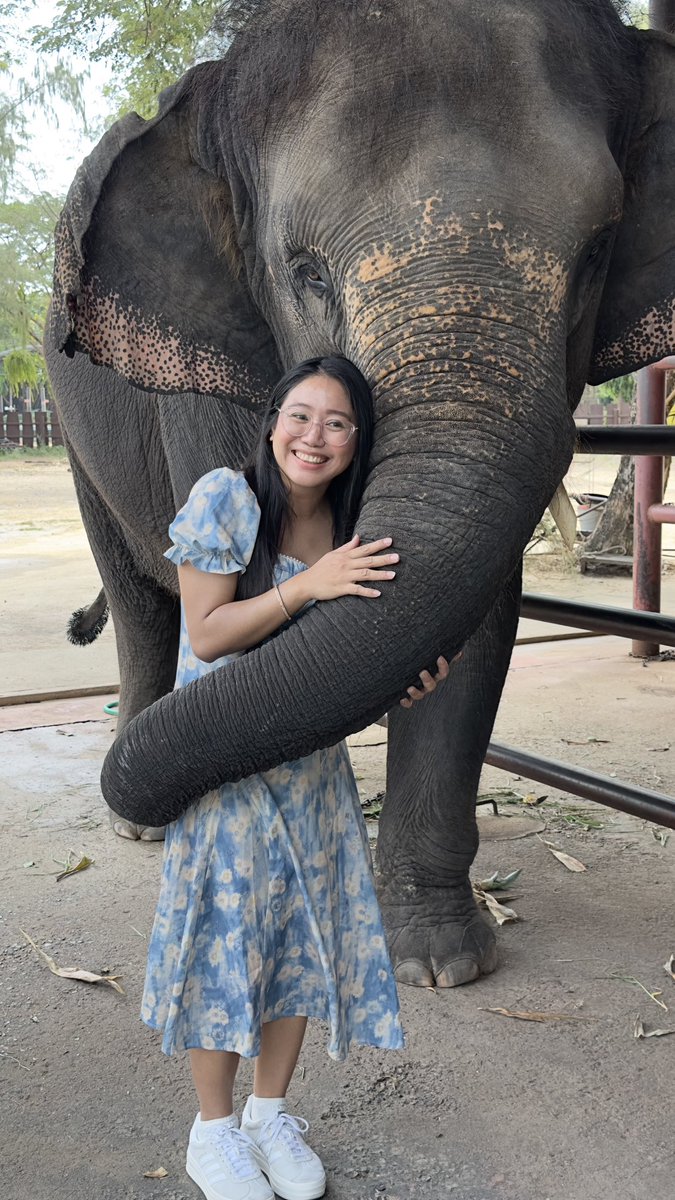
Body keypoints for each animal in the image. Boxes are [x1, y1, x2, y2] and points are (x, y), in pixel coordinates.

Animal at [46, 0, 675, 989]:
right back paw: (139, 823)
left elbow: (475, 617)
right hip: (79, 433)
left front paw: (439, 963)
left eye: (598, 250)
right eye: (305, 271)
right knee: (140, 593)